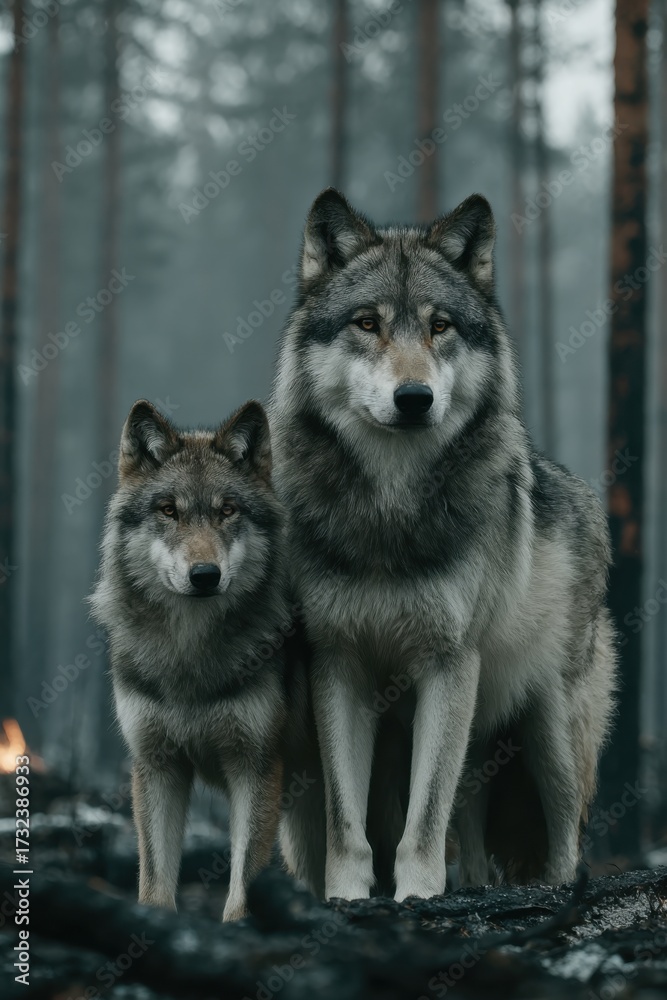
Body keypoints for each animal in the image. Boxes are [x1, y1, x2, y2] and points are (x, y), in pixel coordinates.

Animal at [90, 399, 290, 920]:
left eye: (227, 511)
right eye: (168, 511)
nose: (205, 575)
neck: (189, 658)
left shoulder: (256, 768)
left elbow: (242, 888)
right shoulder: (158, 767)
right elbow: (155, 886)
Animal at [270, 189, 617, 902]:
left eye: (440, 326)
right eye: (367, 324)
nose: (414, 397)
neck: (389, 512)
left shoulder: (448, 664)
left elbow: (423, 821)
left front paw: (417, 896)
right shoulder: (338, 664)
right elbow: (350, 821)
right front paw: (350, 900)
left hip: (550, 733)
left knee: (564, 842)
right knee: (469, 838)